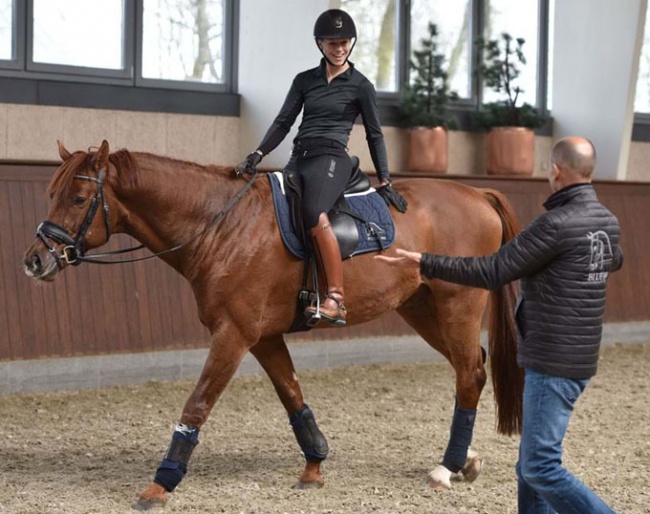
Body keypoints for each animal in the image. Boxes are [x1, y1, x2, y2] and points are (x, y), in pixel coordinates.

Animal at [24, 140, 520, 508]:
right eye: (49, 194)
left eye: (79, 199)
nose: (35, 260)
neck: (220, 225)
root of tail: (478, 195)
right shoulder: (263, 337)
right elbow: (292, 396)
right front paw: (314, 466)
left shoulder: (233, 334)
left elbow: (196, 405)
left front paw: (160, 484)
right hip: (421, 309)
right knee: (470, 369)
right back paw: (464, 461)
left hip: (457, 304)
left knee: (469, 372)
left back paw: (445, 468)